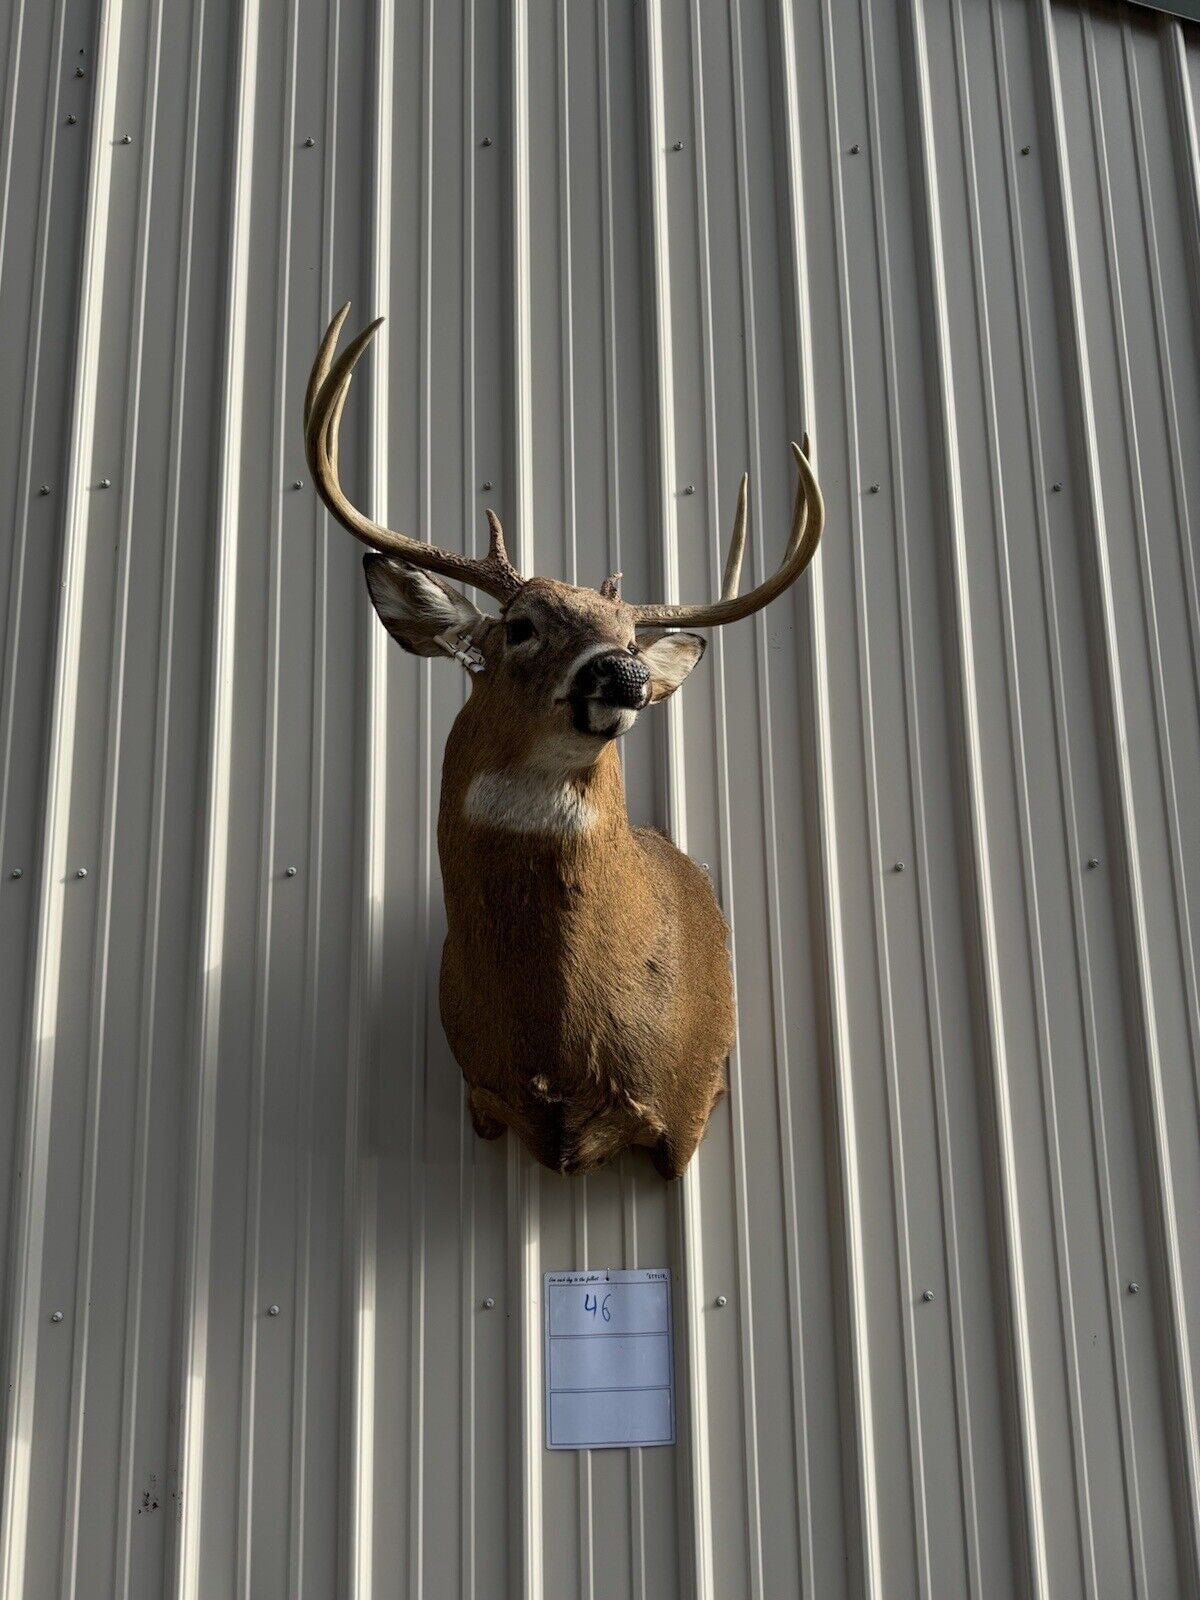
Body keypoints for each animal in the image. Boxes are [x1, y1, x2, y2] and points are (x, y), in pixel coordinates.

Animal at [304, 306, 824, 1178]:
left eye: (630, 635)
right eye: (520, 625)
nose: (624, 674)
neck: (558, 1052)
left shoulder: (688, 1107)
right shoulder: (483, 1095)